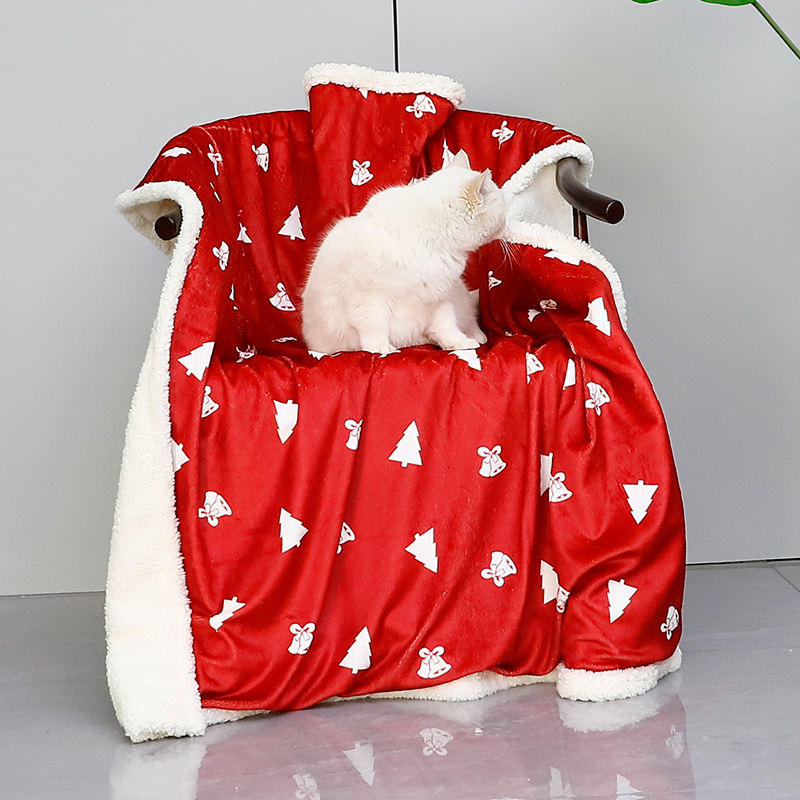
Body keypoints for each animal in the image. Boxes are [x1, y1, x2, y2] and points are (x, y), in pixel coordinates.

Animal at [301, 151, 507, 355]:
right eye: (503, 207)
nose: (508, 218)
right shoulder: (368, 301)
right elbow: (374, 328)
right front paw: (380, 348)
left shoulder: (438, 299)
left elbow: (446, 325)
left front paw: (459, 343)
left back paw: (476, 336)